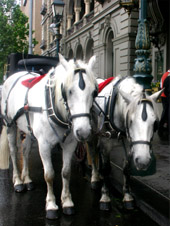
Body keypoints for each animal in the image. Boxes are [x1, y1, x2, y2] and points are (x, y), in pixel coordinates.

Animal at [0, 53, 97, 220]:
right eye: (68, 91)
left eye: (93, 92)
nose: (83, 132)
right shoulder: (44, 145)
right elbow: (49, 174)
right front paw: (51, 205)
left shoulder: (70, 144)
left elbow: (66, 172)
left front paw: (67, 202)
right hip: (10, 125)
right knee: (13, 151)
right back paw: (18, 181)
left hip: (29, 131)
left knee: (25, 151)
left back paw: (27, 179)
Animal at [88, 75, 163, 210]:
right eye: (131, 121)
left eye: (155, 123)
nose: (143, 161)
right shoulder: (105, 144)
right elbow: (106, 168)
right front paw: (105, 196)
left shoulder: (129, 145)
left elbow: (126, 169)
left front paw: (127, 196)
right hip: (91, 134)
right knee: (92, 151)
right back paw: (95, 177)